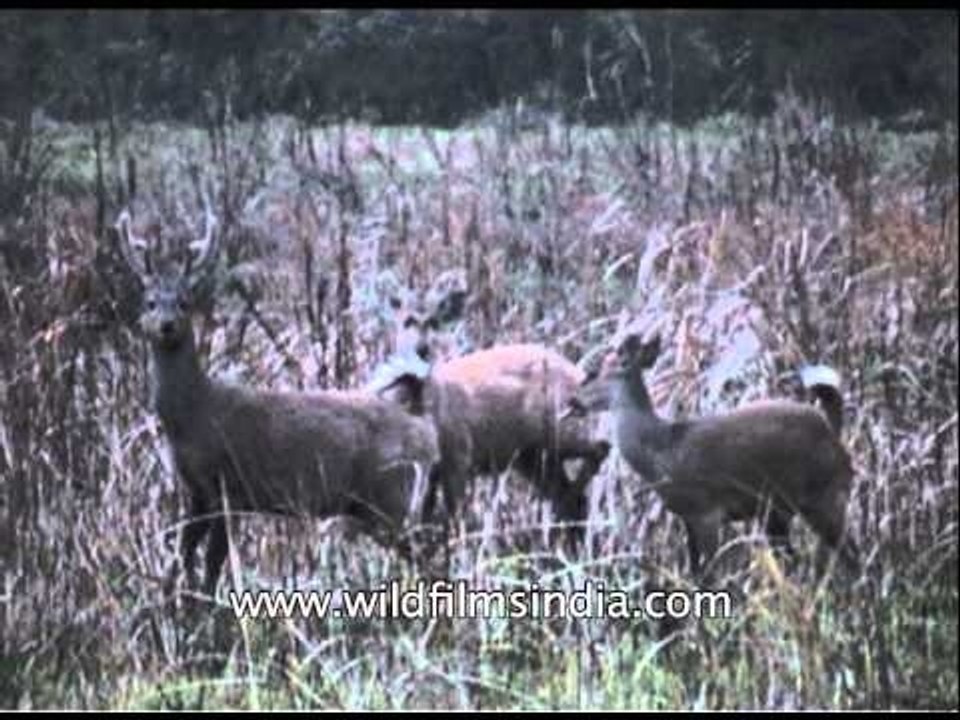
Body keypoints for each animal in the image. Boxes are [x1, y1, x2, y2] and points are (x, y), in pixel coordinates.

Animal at [115, 206, 441, 598]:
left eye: (184, 302)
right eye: (149, 302)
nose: (166, 324)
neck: (195, 416)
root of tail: (423, 428)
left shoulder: (230, 486)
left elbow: (212, 566)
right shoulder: (197, 492)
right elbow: (182, 557)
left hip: (391, 495)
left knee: (429, 556)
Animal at [377, 270, 611, 550]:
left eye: (433, 321)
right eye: (407, 321)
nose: (421, 349)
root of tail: (577, 373)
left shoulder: (460, 454)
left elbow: (455, 519)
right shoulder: (425, 469)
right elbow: (422, 520)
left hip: (558, 428)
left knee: (600, 449)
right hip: (533, 457)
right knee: (570, 496)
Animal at [565, 330, 859, 579]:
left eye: (605, 369)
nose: (573, 399)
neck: (661, 453)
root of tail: (831, 428)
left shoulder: (707, 510)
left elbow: (711, 576)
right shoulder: (686, 516)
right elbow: (695, 575)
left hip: (825, 495)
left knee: (850, 553)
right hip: (777, 511)